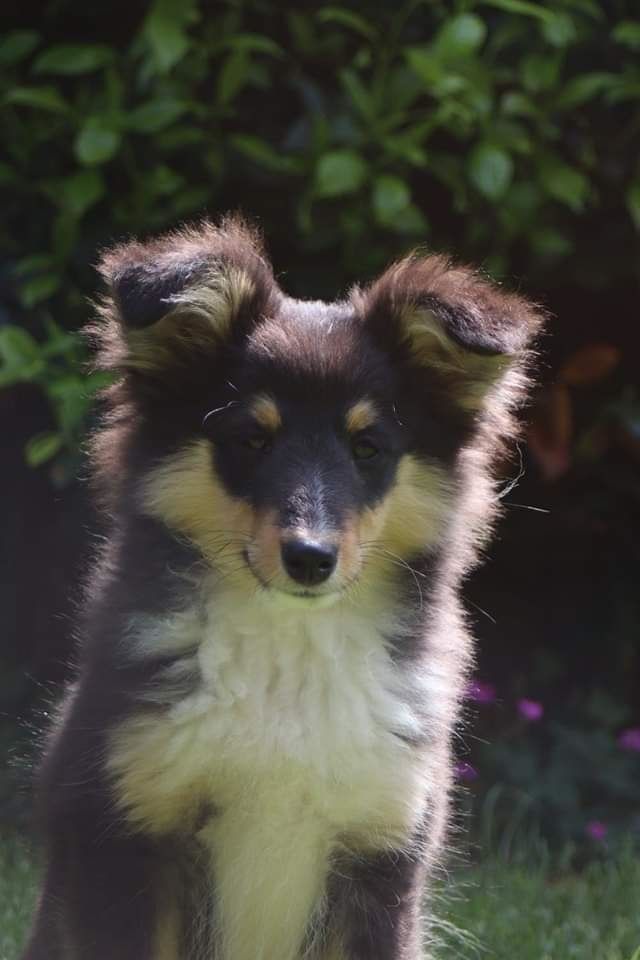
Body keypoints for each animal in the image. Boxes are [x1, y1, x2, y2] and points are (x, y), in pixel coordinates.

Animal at [22, 218, 544, 960]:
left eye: (368, 448)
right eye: (250, 439)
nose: (309, 558)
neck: (290, 648)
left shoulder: (382, 849)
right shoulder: (124, 837)